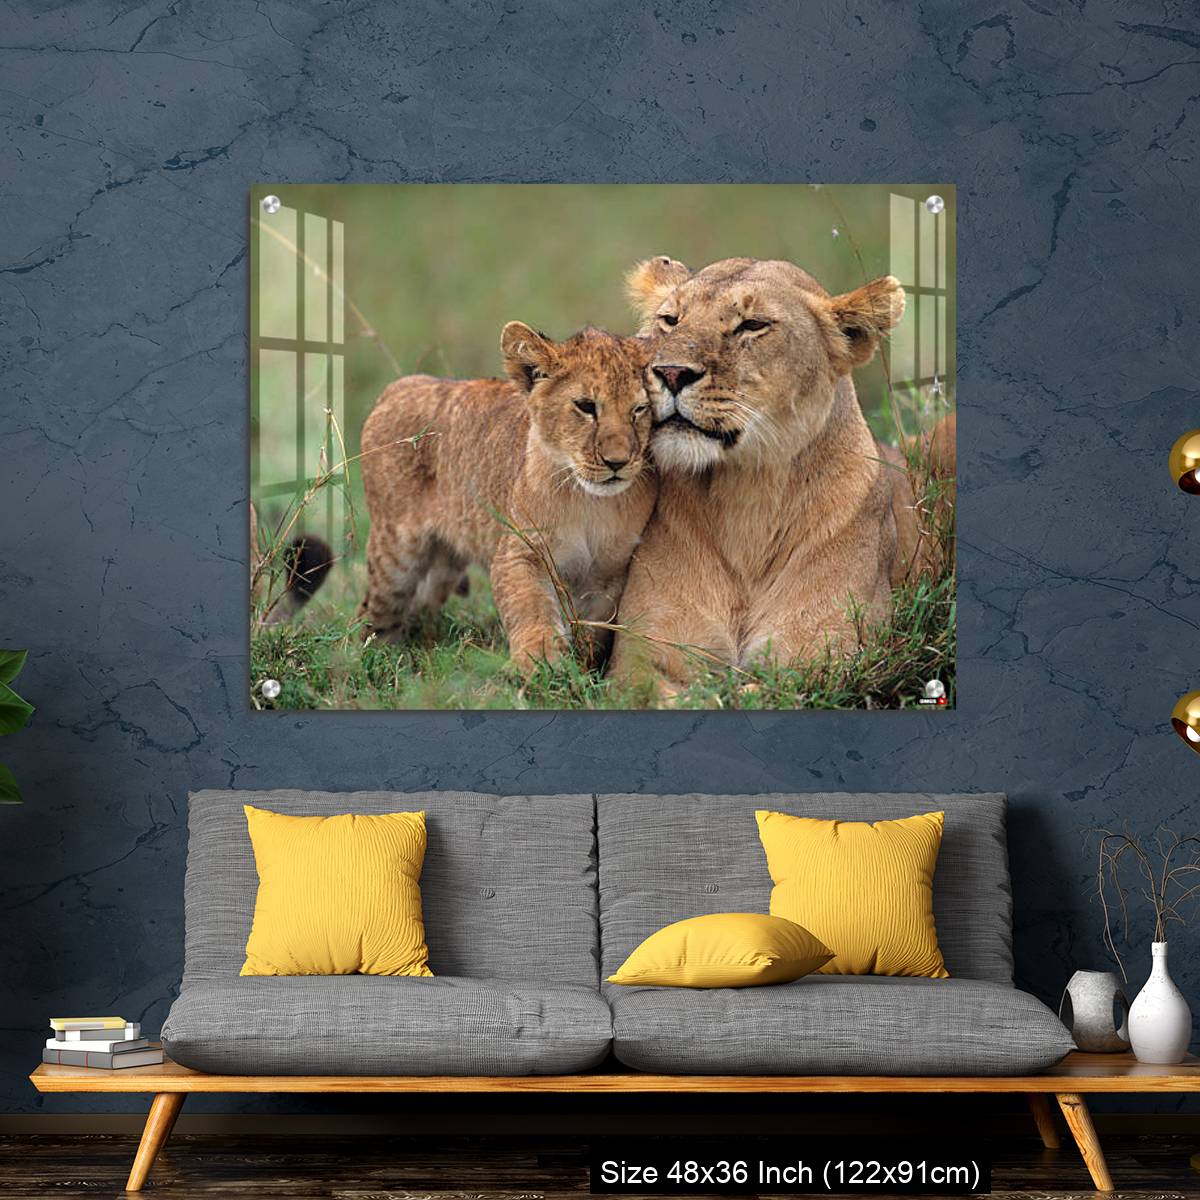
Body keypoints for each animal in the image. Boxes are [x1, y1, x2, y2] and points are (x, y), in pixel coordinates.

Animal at [359, 324, 657, 674]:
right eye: (586, 406)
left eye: (639, 409)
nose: (617, 462)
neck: (590, 502)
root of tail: (400, 386)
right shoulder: (520, 551)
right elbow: (530, 606)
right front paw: (539, 661)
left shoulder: (608, 574)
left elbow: (592, 631)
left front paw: (582, 670)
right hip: (395, 553)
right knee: (373, 612)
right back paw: (369, 658)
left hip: (445, 563)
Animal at [608, 255, 955, 691]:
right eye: (670, 320)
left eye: (753, 325)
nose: (670, 373)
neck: (746, 497)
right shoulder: (640, 657)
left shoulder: (828, 656)